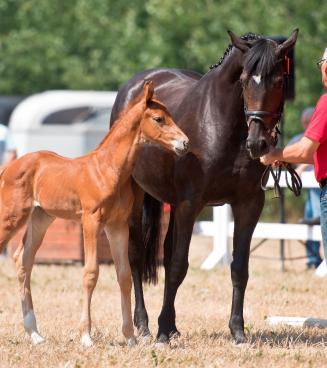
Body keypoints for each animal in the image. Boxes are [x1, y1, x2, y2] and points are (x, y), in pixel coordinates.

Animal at [0, 81, 190, 348]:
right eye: (159, 119)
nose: (185, 143)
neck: (108, 169)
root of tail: (8, 167)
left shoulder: (117, 226)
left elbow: (124, 275)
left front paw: (130, 336)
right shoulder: (90, 221)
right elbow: (90, 273)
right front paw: (86, 336)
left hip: (40, 219)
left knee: (23, 261)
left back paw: (35, 334)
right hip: (12, 217)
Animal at [110, 30, 300, 344]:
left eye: (279, 81)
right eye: (244, 79)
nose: (259, 143)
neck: (224, 126)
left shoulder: (248, 204)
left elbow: (239, 267)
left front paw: (237, 330)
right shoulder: (191, 204)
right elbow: (178, 266)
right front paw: (162, 331)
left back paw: (171, 326)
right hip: (137, 197)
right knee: (136, 255)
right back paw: (145, 325)